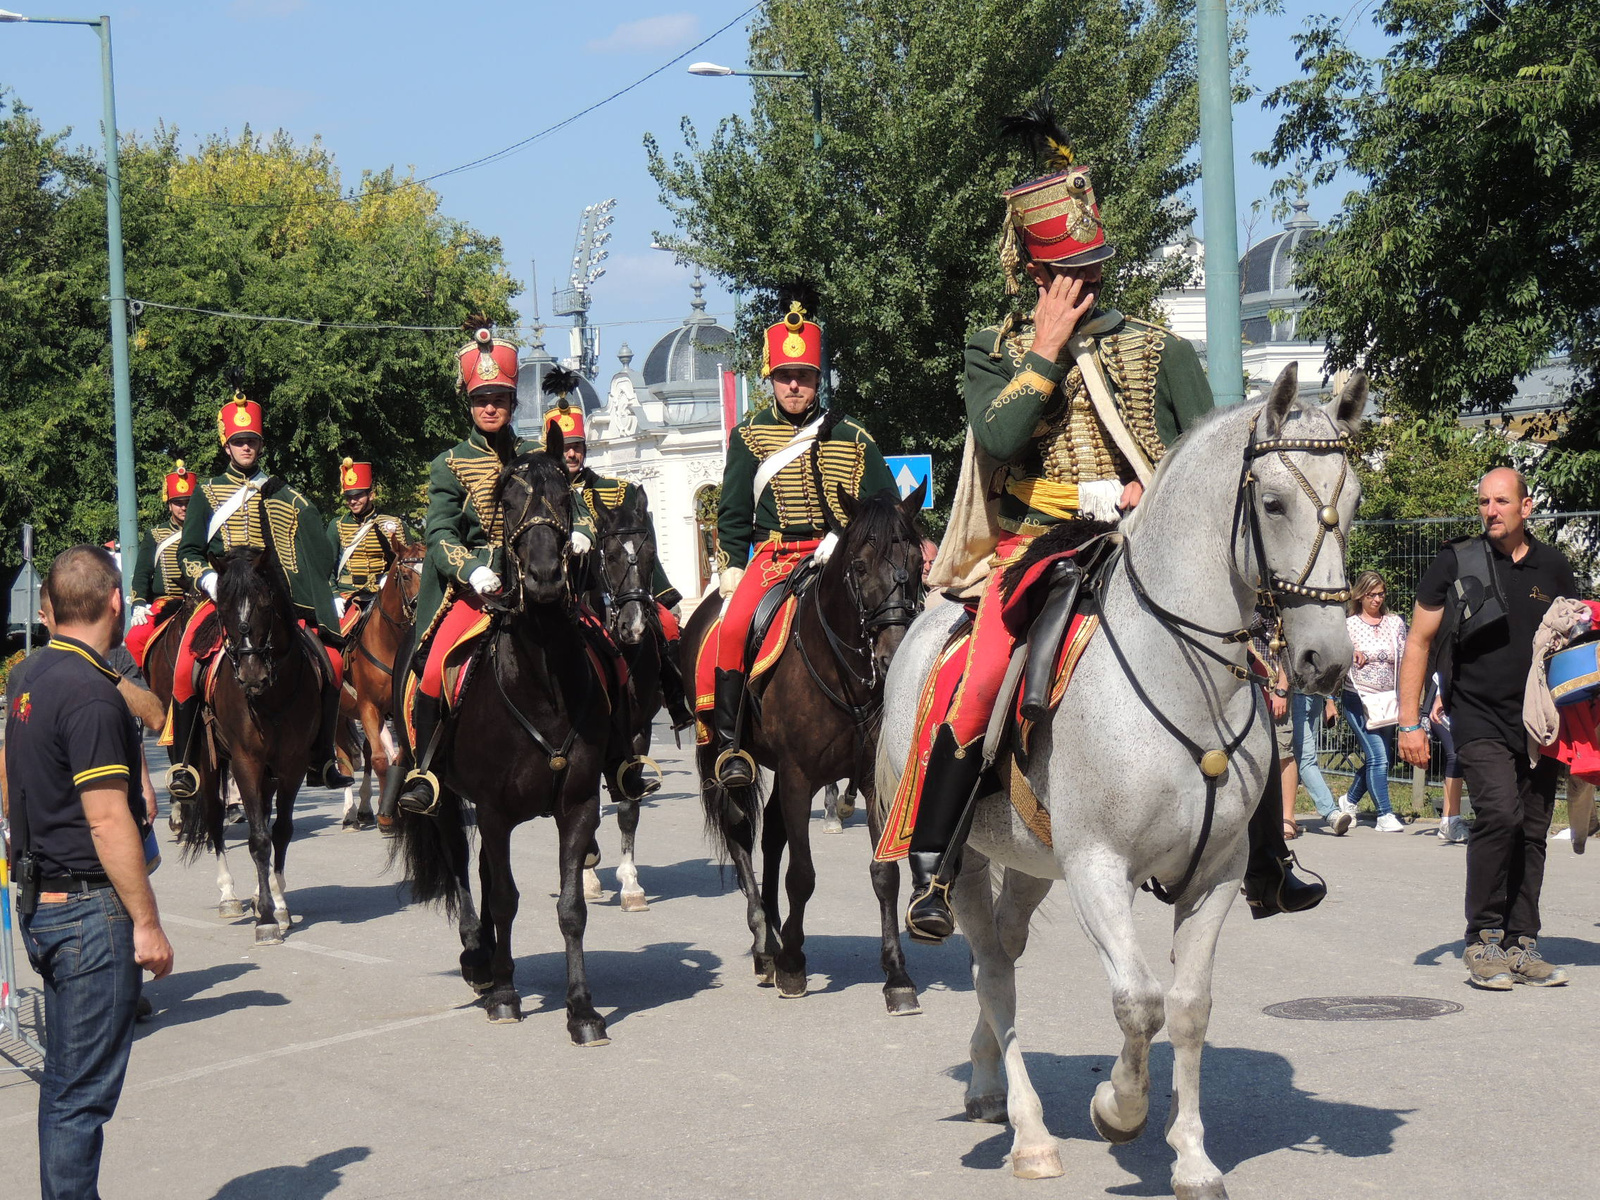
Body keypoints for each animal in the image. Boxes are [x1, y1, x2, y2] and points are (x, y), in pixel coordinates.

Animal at [175, 544, 324, 947]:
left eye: (265, 604)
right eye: (223, 607)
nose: (250, 674)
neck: (272, 696)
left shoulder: (292, 765)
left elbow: (280, 832)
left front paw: (278, 904)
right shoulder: (245, 762)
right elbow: (258, 839)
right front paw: (267, 919)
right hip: (209, 763)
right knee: (214, 818)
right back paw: (229, 895)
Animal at [396, 438, 614, 1049]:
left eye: (566, 495)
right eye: (508, 502)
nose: (542, 576)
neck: (541, 685)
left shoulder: (577, 806)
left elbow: (571, 906)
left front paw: (581, 1009)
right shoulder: (492, 810)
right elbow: (504, 897)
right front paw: (506, 995)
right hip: (445, 797)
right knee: (461, 868)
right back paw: (479, 960)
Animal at [684, 483, 934, 1011]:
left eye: (917, 563)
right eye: (859, 566)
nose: (894, 655)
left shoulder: (869, 779)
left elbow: (884, 875)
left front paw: (896, 976)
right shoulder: (799, 775)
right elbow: (802, 874)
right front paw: (793, 967)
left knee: (772, 834)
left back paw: (776, 935)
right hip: (722, 757)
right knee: (741, 834)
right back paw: (766, 945)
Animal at [876, 366, 1363, 1200]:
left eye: (1357, 499)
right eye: (1273, 502)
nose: (1324, 661)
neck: (1181, 676)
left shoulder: (1218, 873)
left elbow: (1189, 1007)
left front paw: (1193, 1157)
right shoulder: (1098, 868)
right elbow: (1138, 1003)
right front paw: (1118, 1109)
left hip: (1032, 864)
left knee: (1000, 951)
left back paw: (984, 1082)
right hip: (967, 859)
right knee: (991, 966)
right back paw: (1031, 1132)